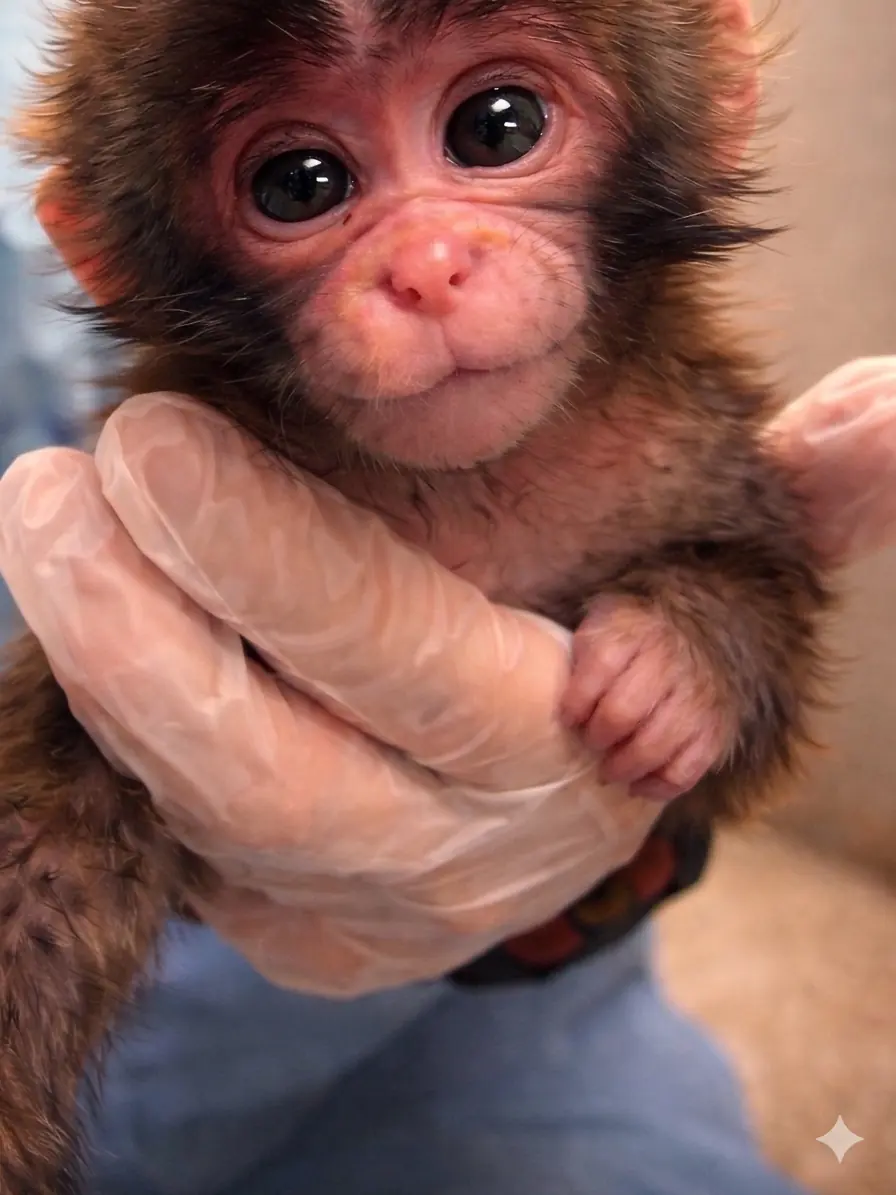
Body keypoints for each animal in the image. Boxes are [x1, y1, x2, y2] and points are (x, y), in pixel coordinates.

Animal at [0, 0, 832, 1190]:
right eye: (299, 184)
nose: (427, 269)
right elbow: (41, 869)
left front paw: (680, 666)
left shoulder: (691, 434)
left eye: (497, 126)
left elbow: (761, 591)